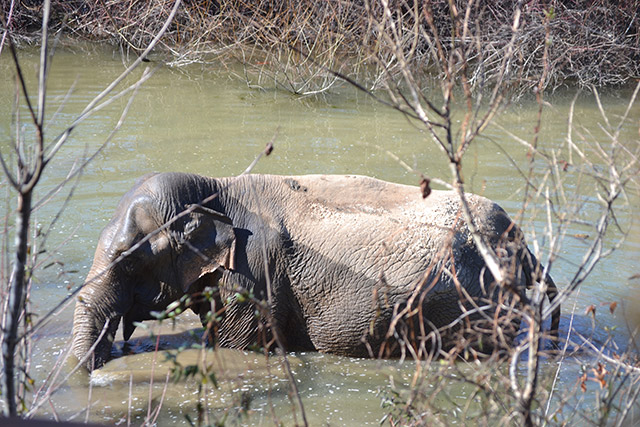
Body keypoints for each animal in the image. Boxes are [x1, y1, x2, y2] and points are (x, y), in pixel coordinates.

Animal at [71, 172, 560, 370]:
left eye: (129, 259)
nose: (103, 364)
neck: (214, 187)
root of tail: (523, 243)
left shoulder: (254, 279)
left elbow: (238, 346)